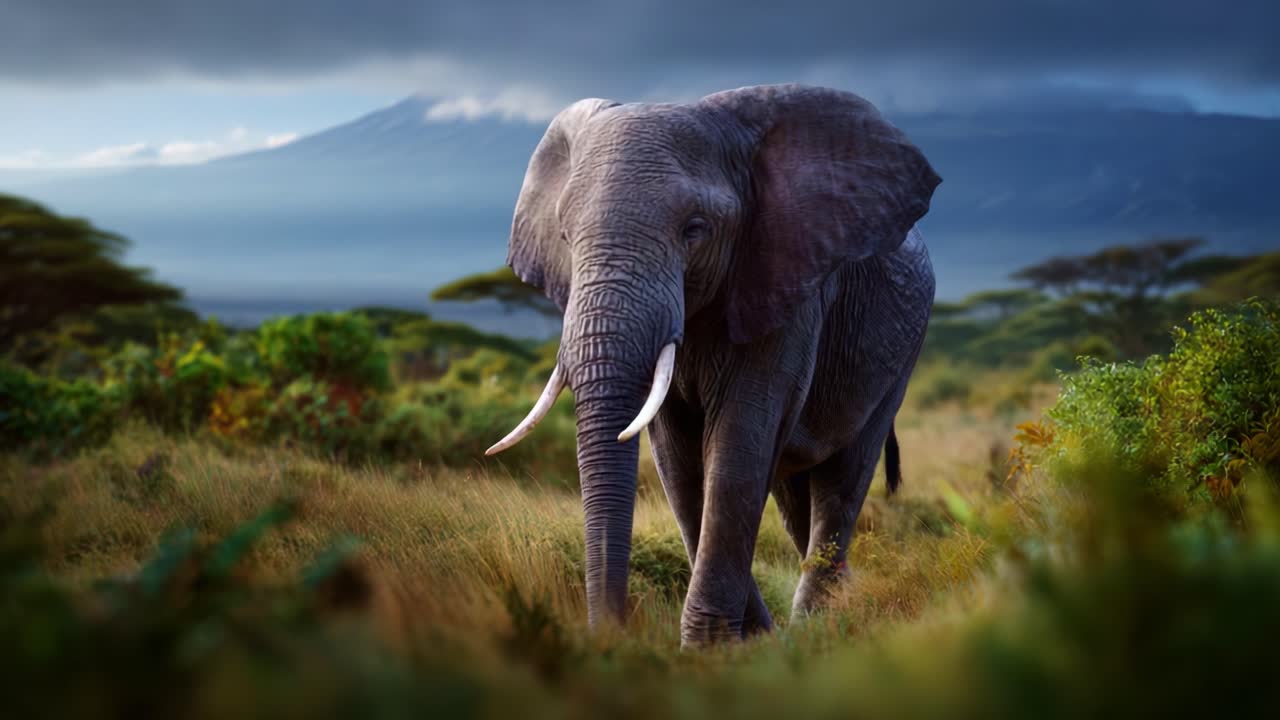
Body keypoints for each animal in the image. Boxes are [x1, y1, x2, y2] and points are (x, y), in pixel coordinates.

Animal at [485, 84, 940, 647]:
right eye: (565, 237)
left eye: (694, 229)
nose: (611, 634)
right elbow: (679, 464)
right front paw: (746, 640)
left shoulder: (784, 279)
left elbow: (738, 445)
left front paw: (708, 649)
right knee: (796, 498)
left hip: (904, 350)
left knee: (843, 479)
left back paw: (821, 626)